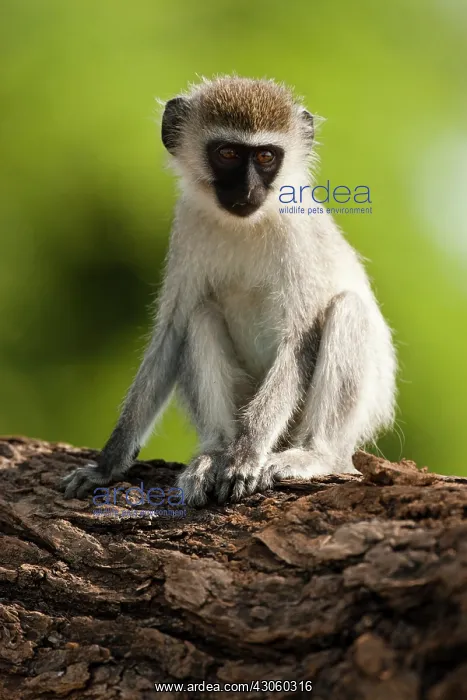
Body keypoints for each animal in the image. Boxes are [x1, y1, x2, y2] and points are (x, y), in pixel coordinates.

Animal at [61, 76, 397, 506]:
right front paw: (107, 464)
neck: (247, 224)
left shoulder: (297, 233)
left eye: (266, 157)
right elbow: (171, 333)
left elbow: (299, 342)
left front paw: (246, 456)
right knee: (199, 316)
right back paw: (216, 452)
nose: (248, 189)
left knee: (348, 310)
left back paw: (312, 455)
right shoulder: (187, 224)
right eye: (228, 153)